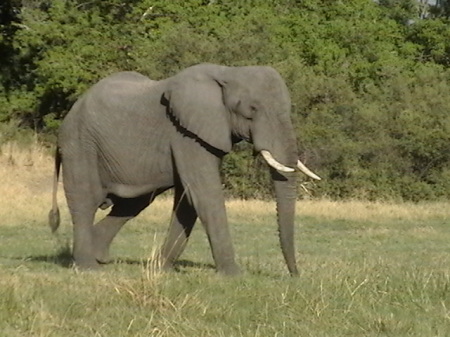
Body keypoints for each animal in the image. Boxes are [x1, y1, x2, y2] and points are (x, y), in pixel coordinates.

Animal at [48, 63, 320, 276]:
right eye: (251, 111)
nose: (295, 275)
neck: (228, 72)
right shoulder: (186, 132)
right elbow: (204, 192)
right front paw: (234, 275)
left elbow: (188, 199)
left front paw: (161, 269)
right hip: (80, 144)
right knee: (85, 200)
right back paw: (88, 267)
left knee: (133, 204)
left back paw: (99, 257)